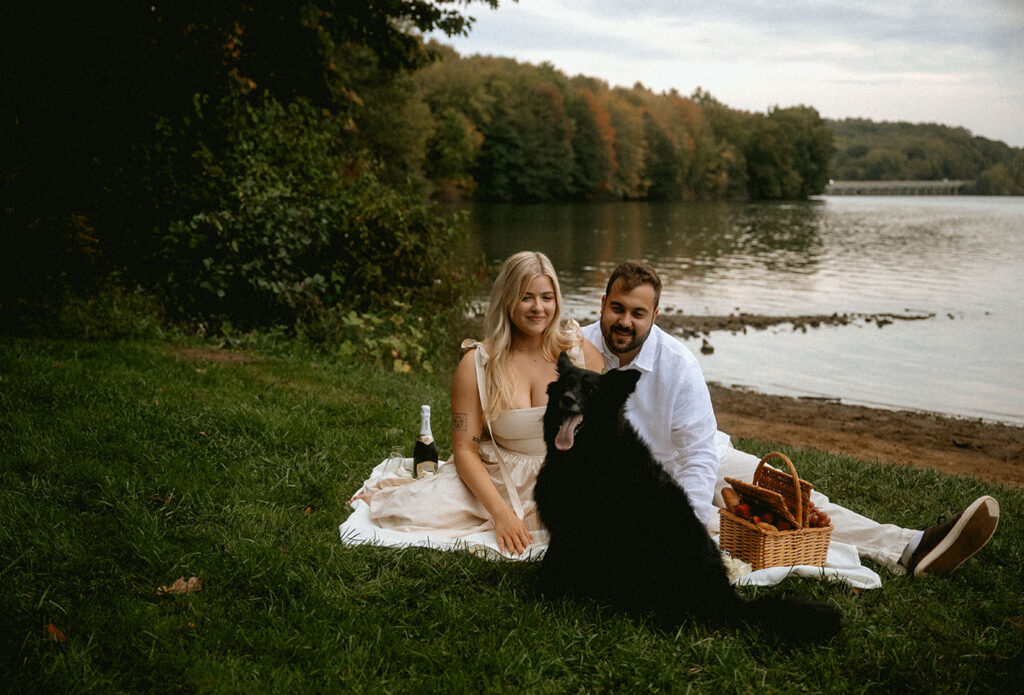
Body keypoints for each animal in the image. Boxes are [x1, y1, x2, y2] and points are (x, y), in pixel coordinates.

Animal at [536, 356, 839, 642]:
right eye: (566, 384)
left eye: (590, 390)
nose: (567, 399)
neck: (590, 452)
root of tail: (727, 600)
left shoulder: (576, 534)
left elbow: (554, 568)